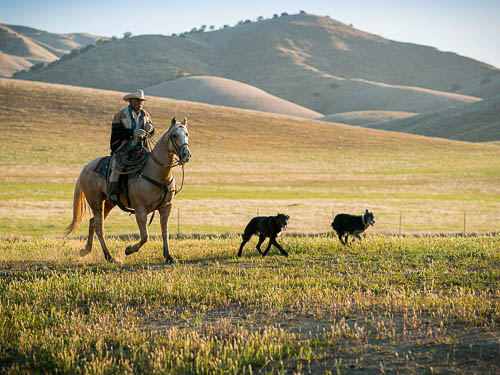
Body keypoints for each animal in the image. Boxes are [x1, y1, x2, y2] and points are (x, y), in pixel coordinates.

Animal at [65, 117, 190, 264]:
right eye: (174, 135)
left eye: (186, 134)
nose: (186, 154)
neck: (156, 172)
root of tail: (85, 167)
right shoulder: (140, 211)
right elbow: (145, 236)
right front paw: (129, 250)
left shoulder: (166, 207)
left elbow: (165, 232)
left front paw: (168, 256)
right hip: (96, 202)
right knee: (99, 228)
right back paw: (109, 256)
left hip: (109, 203)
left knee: (92, 223)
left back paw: (86, 250)